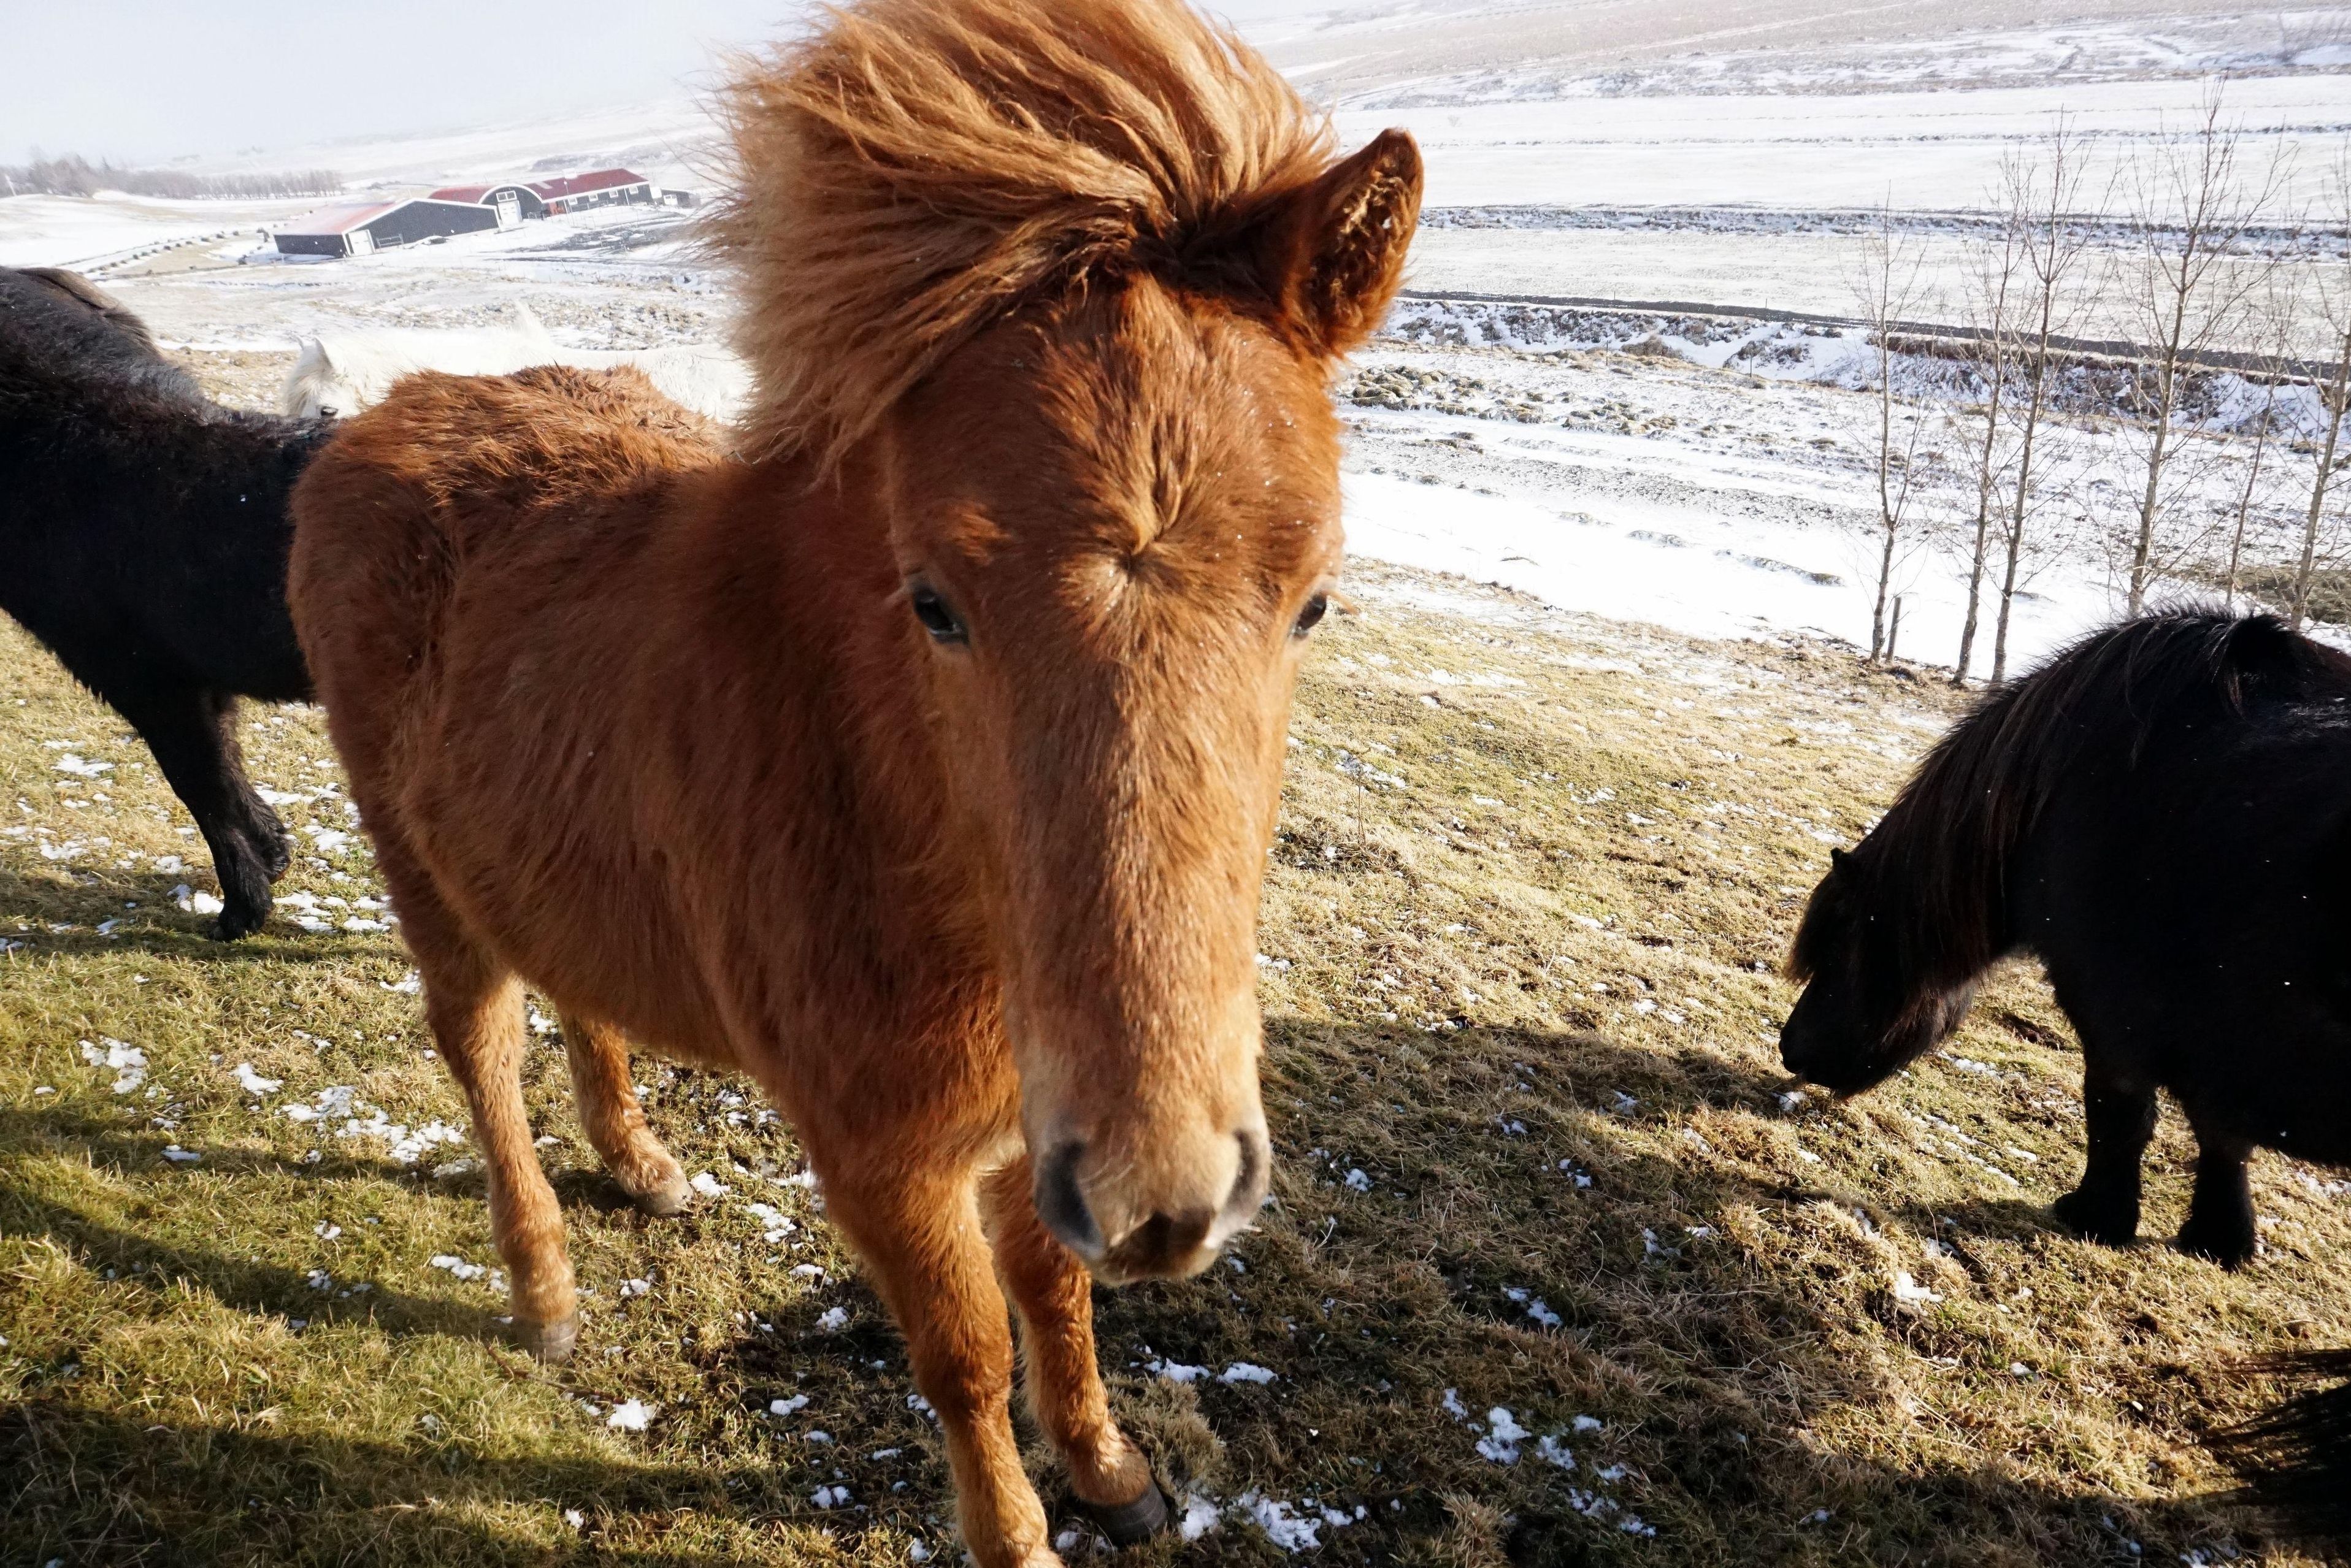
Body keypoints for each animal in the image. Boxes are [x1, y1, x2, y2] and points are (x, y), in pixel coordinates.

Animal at [0, 266, 330, 938]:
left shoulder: (151, 682)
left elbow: (202, 787)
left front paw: (241, 911)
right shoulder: (195, 686)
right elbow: (225, 777)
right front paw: (274, 856)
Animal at [285, 1, 1421, 1562]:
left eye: (1312, 601)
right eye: (931, 601)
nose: (1160, 1196)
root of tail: (377, 414)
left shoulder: (1027, 1132)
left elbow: (1053, 1292)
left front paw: (1110, 1472)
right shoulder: (882, 1160)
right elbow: (965, 1355)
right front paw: (1017, 1532)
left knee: (577, 991)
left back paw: (639, 1164)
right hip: (422, 878)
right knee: (479, 1050)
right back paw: (545, 1289)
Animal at [1778, 609, 2351, 1542]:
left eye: (1841, 944)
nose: (1790, 1049)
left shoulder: (2110, 1017)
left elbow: (2120, 1119)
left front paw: (2096, 1216)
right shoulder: (2216, 1041)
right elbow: (2221, 1136)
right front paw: (2220, 1238)